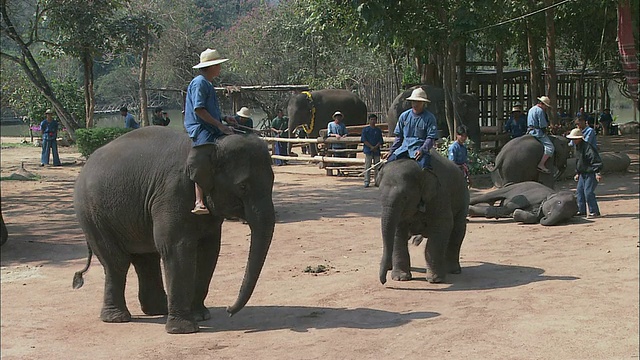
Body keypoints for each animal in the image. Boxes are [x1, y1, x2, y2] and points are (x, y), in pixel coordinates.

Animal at [72, 127, 276, 334]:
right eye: (242, 186)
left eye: (272, 182)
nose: (229, 310)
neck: (212, 145)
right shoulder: (173, 193)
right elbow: (177, 248)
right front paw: (184, 329)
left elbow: (209, 250)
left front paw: (201, 316)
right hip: (93, 216)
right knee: (117, 262)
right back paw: (117, 318)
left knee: (147, 259)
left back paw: (158, 310)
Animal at [376, 152, 470, 284]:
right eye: (380, 196)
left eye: (405, 197)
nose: (383, 281)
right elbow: (398, 233)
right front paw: (400, 278)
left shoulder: (440, 195)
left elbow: (442, 227)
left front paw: (435, 280)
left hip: (463, 199)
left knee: (457, 231)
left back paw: (453, 270)